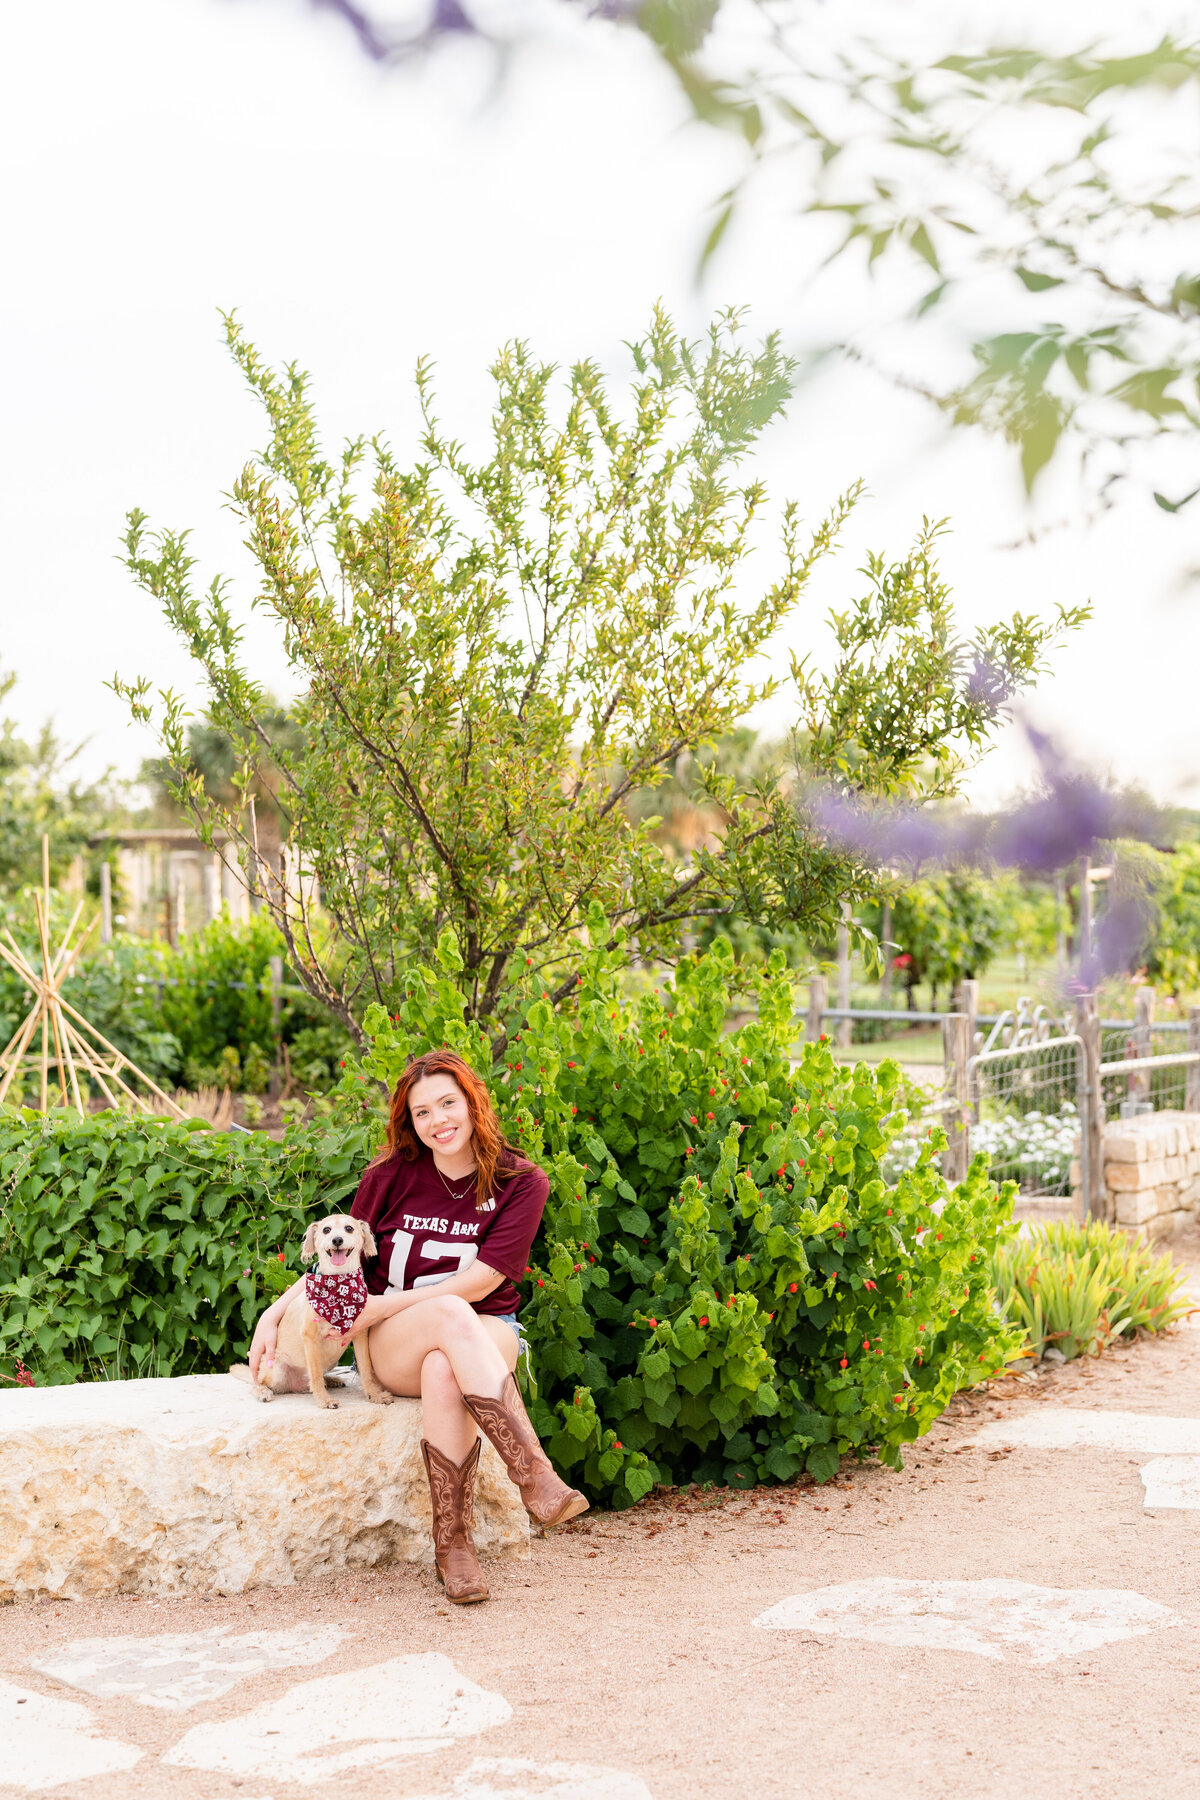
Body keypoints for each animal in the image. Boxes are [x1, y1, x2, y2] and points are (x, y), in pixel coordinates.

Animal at [237, 1216, 395, 1411]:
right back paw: (262, 1391)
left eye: (349, 1228)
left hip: (331, 1361)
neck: (338, 1287)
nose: (337, 1240)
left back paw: (332, 1380)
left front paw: (374, 1394)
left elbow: (366, 1369)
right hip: (276, 1369)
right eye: (326, 1230)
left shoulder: (360, 1334)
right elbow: (316, 1374)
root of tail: (294, 1385)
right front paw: (324, 1400)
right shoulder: (310, 1336)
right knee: (257, 1381)